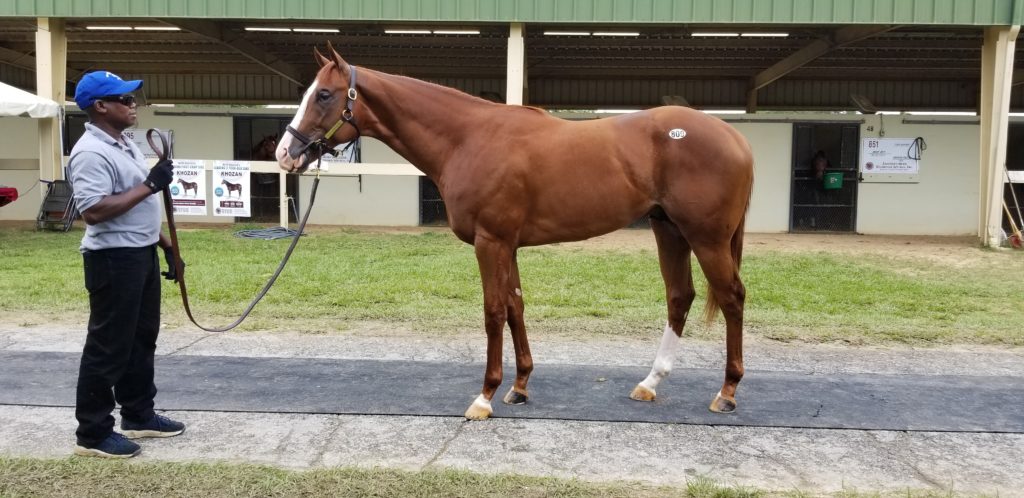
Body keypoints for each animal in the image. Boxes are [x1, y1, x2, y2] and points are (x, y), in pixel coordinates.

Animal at [276, 45, 757, 420]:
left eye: (323, 94)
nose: (285, 153)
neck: (468, 138)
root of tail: (734, 137)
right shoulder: (508, 245)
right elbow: (515, 308)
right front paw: (520, 387)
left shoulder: (490, 243)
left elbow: (492, 312)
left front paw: (485, 396)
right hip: (669, 231)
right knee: (680, 296)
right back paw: (650, 383)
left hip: (707, 239)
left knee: (732, 297)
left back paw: (727, 392)